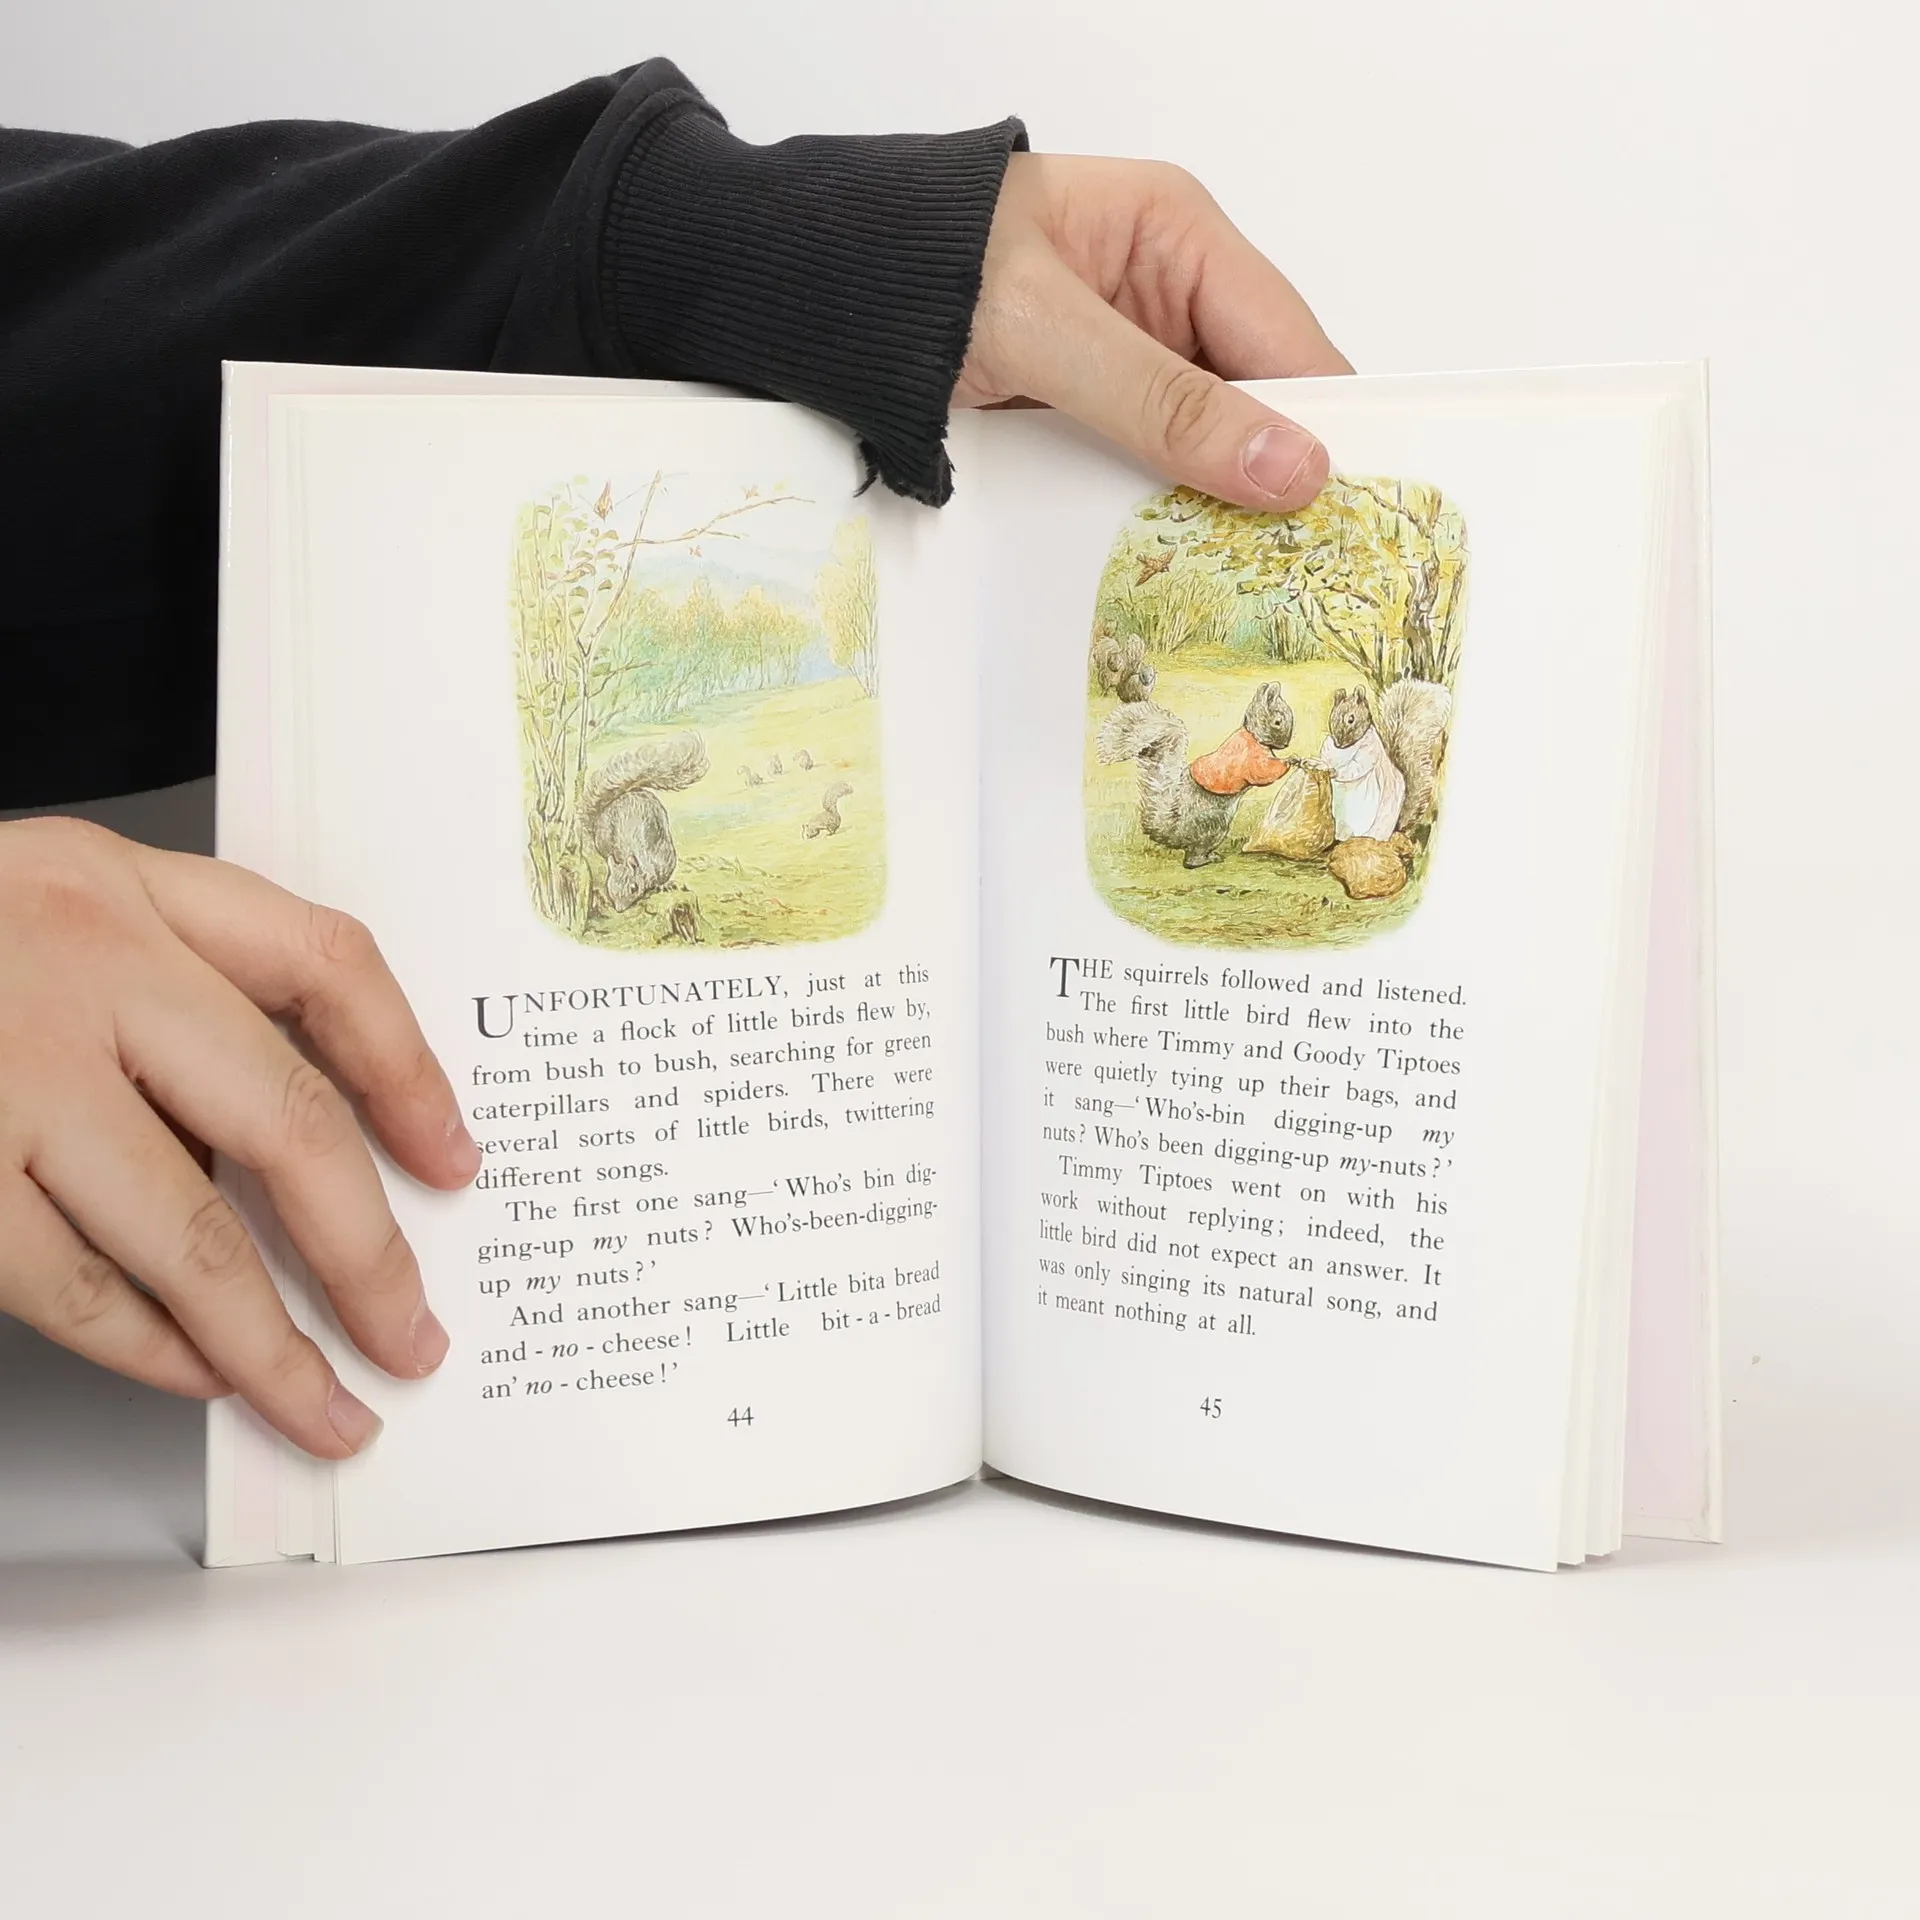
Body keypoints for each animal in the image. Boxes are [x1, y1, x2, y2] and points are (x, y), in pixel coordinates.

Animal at [1098, 682, 1294, 868]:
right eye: (1278, 721)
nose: (1285, 745)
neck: (1252, 733)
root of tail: (1173, 831)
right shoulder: (1249, 757)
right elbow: (1264, 772)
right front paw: (1291, 760)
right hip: (1213, 826)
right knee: (1192, 859)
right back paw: (1207, 860)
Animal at [1319, 680, 1452, 839]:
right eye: (1332, 716)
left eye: (1351, 719)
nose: (1338, 743)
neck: (1349, 746)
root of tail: (1395, 828)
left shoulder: (1370, 748)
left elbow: (1358, 766)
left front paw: (1333, 771)